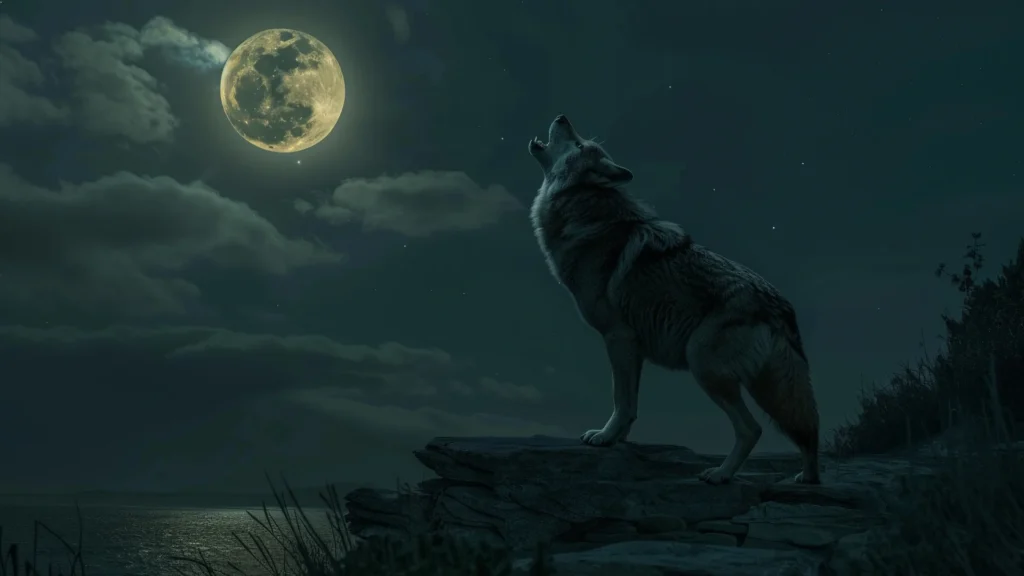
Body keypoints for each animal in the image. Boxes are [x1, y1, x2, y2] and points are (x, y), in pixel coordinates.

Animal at [527, 115, 820, 484]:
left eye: (579, 144)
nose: (562, 116)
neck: (582, 211)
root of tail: (781, 306)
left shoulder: (618, 338)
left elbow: (619, 399)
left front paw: (604, 438)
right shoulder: (633, 348)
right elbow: (631, 405)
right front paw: (619, 439)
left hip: (703, 365)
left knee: (751, 429)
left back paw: (720, 474)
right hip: (767, 386)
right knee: (807, 428)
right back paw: (806, 479)